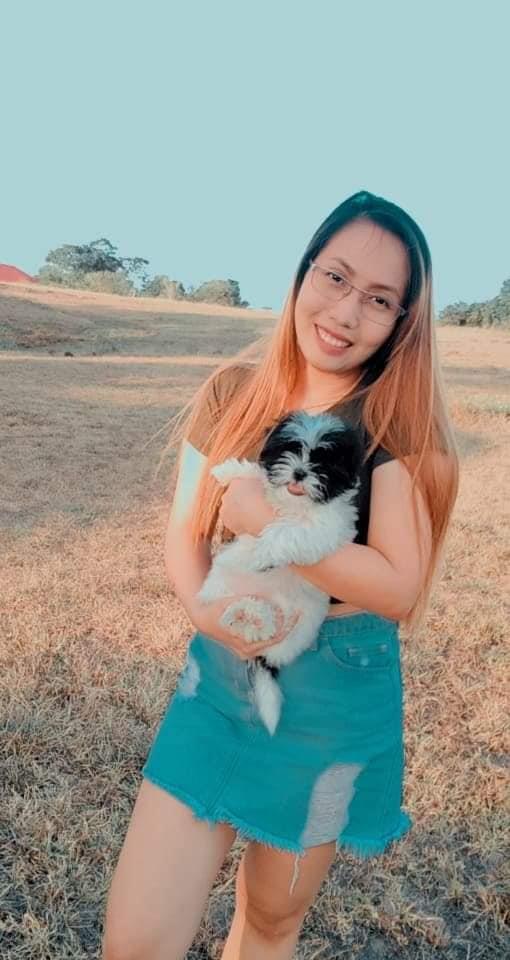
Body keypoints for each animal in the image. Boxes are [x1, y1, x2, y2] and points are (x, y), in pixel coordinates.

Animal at [196, 410, 364, 735]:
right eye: (291, 449)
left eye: (323, 463)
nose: (299, 472)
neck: (294, 504)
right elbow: (257, 476)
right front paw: (228, 470)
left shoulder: (325, 528)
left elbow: (288, 532)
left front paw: (263, 552)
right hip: (222, 582)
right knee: (235, 614)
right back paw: (244, 613)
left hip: (295, 625)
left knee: (268, 628)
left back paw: (255, 618)